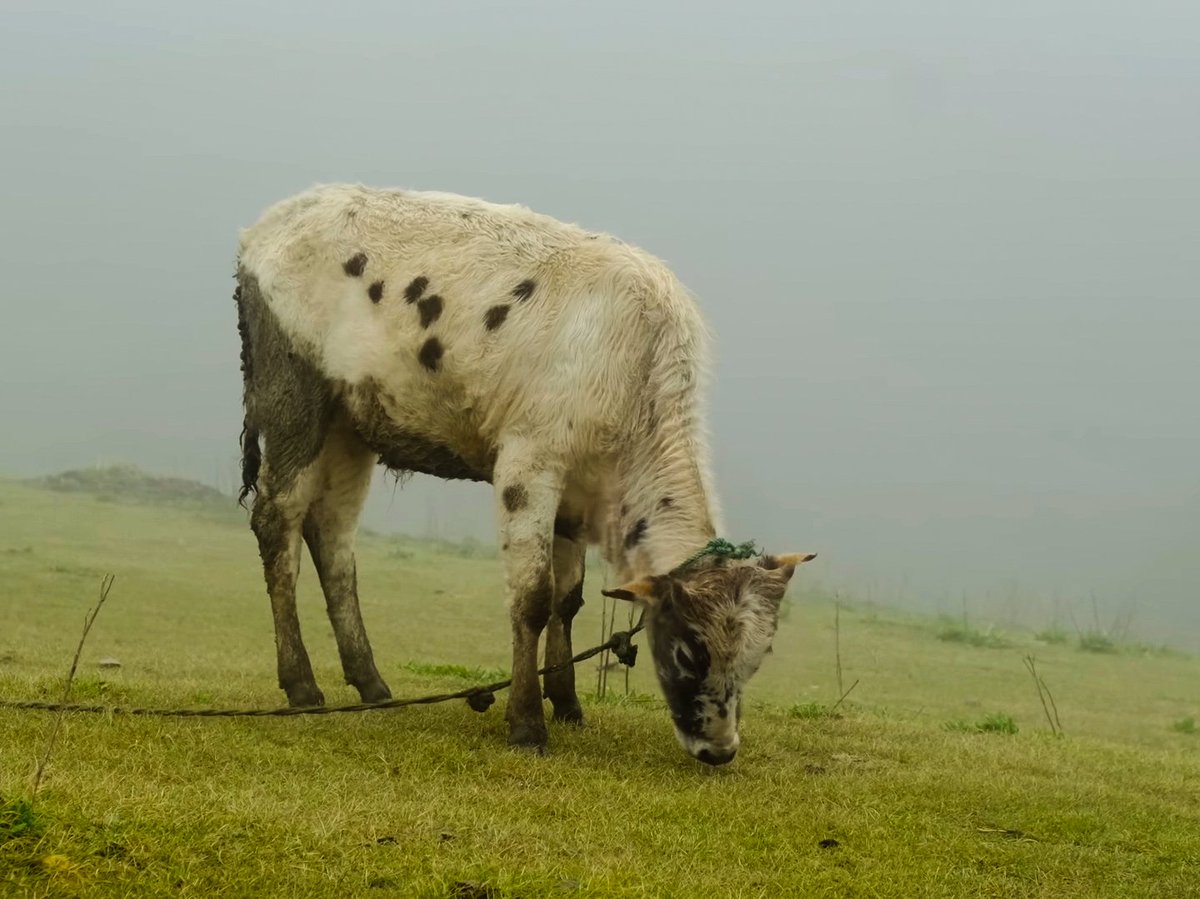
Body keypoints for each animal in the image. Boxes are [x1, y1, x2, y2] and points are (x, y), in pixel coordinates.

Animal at [234, 183, 816, 763]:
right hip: (296, 398)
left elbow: (568, 599)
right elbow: (534, 597)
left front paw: (567, 701)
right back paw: (302, 684)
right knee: (278, 520)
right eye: (688, 652)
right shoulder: (530, 462)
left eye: (757, 657)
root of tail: (274, 222)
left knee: (332, 534)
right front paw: (527, 722)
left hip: (350, 425)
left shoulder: (575, 492)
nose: (719, 750)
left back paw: (371, 683)